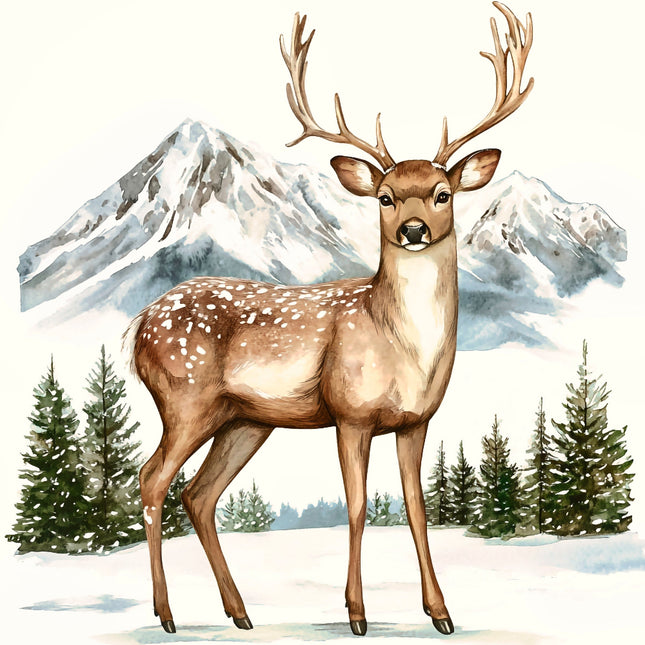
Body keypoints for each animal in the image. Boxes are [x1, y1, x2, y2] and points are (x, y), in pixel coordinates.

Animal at [124, 1, 533, 637]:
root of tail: (138, 325)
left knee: (198, 493)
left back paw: (239, 612)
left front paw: (441, 613)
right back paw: (167, 615)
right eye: (385, 196)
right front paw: (357, 613)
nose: (413, 230)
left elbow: (417, 509)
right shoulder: (350, 412)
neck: (402, 348)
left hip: (244, 419)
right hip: (184, 397)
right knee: (151, 480)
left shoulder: (416, 421)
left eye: (442, 193)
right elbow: (358, 506)